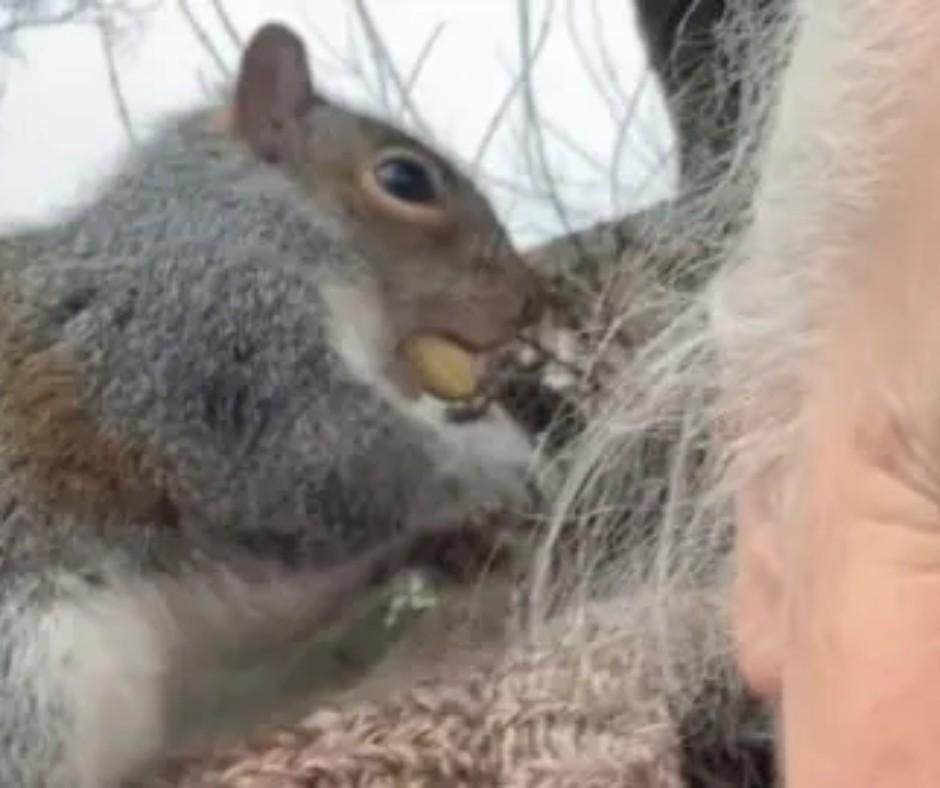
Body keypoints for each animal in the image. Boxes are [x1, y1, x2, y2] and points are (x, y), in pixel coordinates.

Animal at [0, 21, 544, 788]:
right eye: (405, 179)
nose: (529, 299)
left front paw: (461, 543)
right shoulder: (215, 336)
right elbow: (323, 458)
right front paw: (502, 458)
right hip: (26, 678)